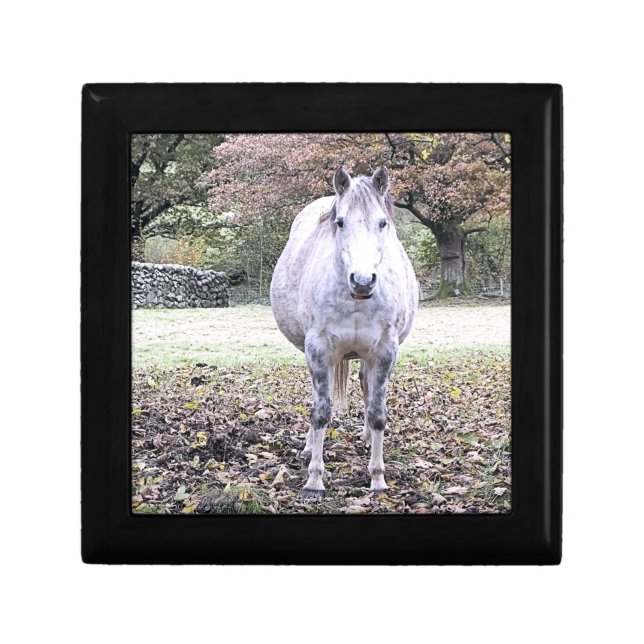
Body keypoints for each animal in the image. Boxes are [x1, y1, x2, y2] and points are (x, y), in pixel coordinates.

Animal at [270, 166, 418, 498]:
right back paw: (308, 446)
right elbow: (320, 412)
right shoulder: (318, 350)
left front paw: (377, 479)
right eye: (340, 222)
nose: (363, 281)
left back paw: (366, 439)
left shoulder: (385, 351)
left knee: (366, 387)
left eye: (383, 222)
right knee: (319, 397)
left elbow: (378, 413)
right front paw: (314, 481)